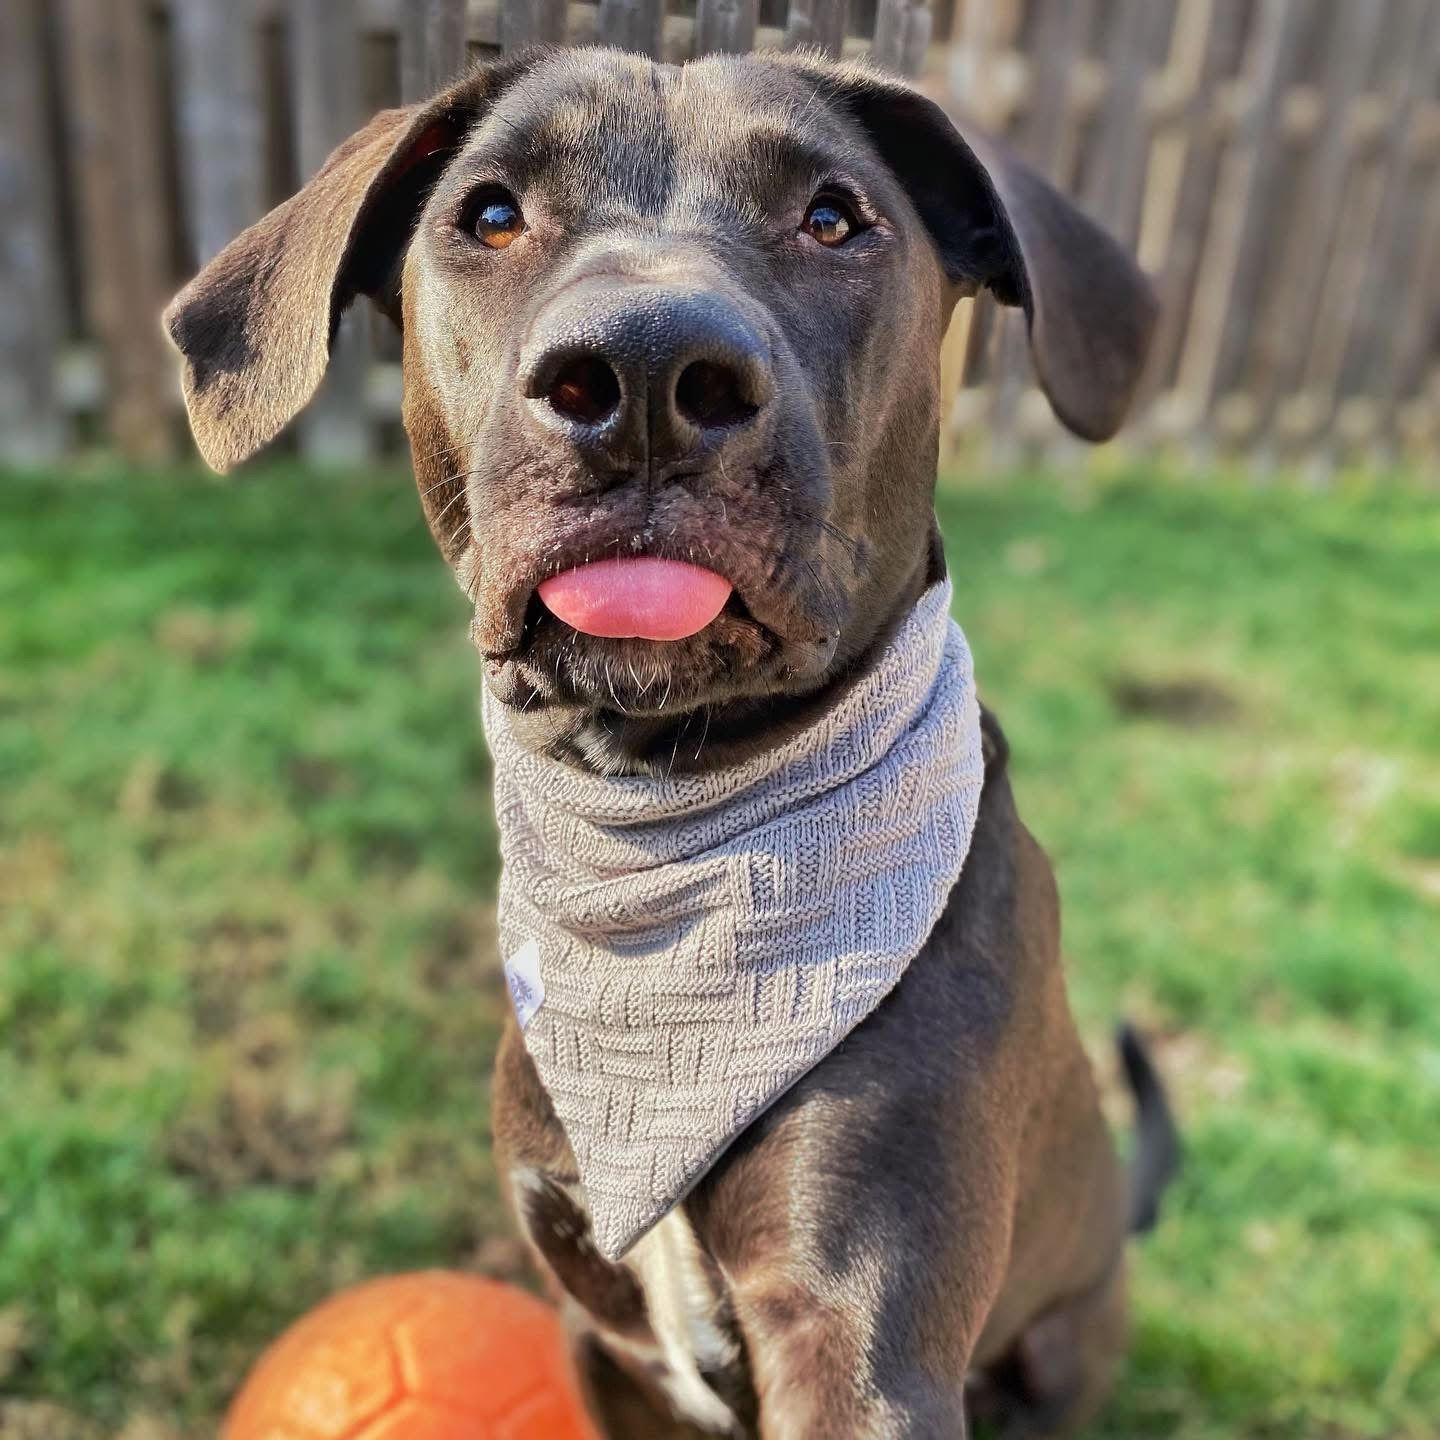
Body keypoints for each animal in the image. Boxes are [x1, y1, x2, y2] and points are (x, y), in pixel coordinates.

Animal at [168, 47, 1180, 1440]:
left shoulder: (862, 1343)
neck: (665, 827)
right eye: (490, 214)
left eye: (833, 216)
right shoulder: (601, 1337)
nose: (643, 373)